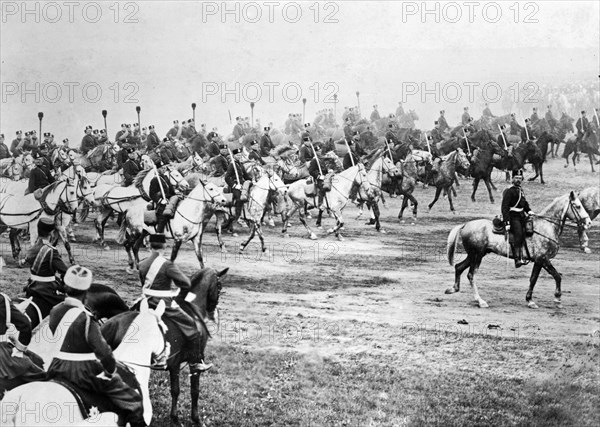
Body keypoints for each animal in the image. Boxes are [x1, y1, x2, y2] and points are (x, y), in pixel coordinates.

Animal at [446, 192, 592, 310]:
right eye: (578, 206)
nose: (589, 222)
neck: (547, 227)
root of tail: (466, 224)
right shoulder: (541, 259)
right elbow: (548, 277)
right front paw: (551, 299)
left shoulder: (540, 261)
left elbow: (540, 278)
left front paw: (536, 300)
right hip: (477, 256)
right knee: (471, 275)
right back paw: (480, 301)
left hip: (474, 255)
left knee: (459, 267)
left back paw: (453, 289)